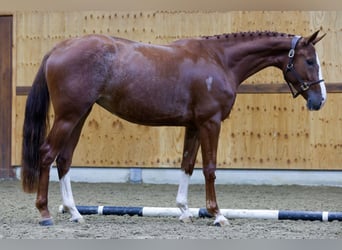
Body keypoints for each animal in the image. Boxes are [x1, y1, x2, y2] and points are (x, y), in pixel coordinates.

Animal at [20, 30, 326, 226]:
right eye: (310, 61)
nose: (319, 100)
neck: (219, 60)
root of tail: (59, 48)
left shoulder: (194, 126)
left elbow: (187, 165)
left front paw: (184, 211)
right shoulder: (210, 123)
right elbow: (210, 168)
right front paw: (217, 214)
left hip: (79, 115)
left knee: (64, 159)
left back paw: (74, 212)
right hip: (68, 116)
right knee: (47, 154)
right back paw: (45, 213)